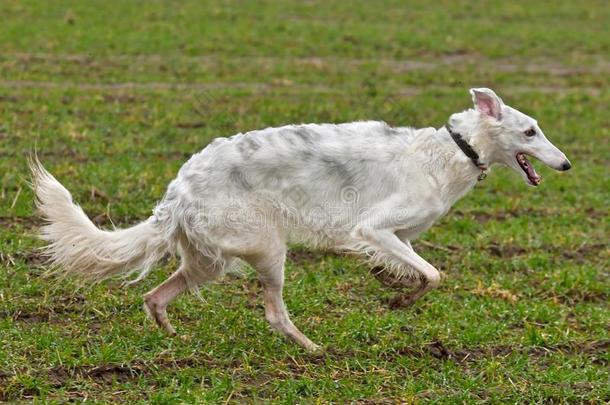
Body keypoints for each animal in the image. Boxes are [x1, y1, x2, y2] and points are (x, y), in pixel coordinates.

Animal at [29, 87, 568, 350]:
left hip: (208, 261)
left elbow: (416, 267)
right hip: (266, 246)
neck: (456, 149)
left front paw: (389, 281)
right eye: (530, 131)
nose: (565, 165)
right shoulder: (372, 226)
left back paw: (175, 339)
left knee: (154, 296)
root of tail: (176, 191)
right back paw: (311, 347)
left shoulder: (399, 234)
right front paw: (400, 297)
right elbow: (432, 275)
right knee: (273, 313)